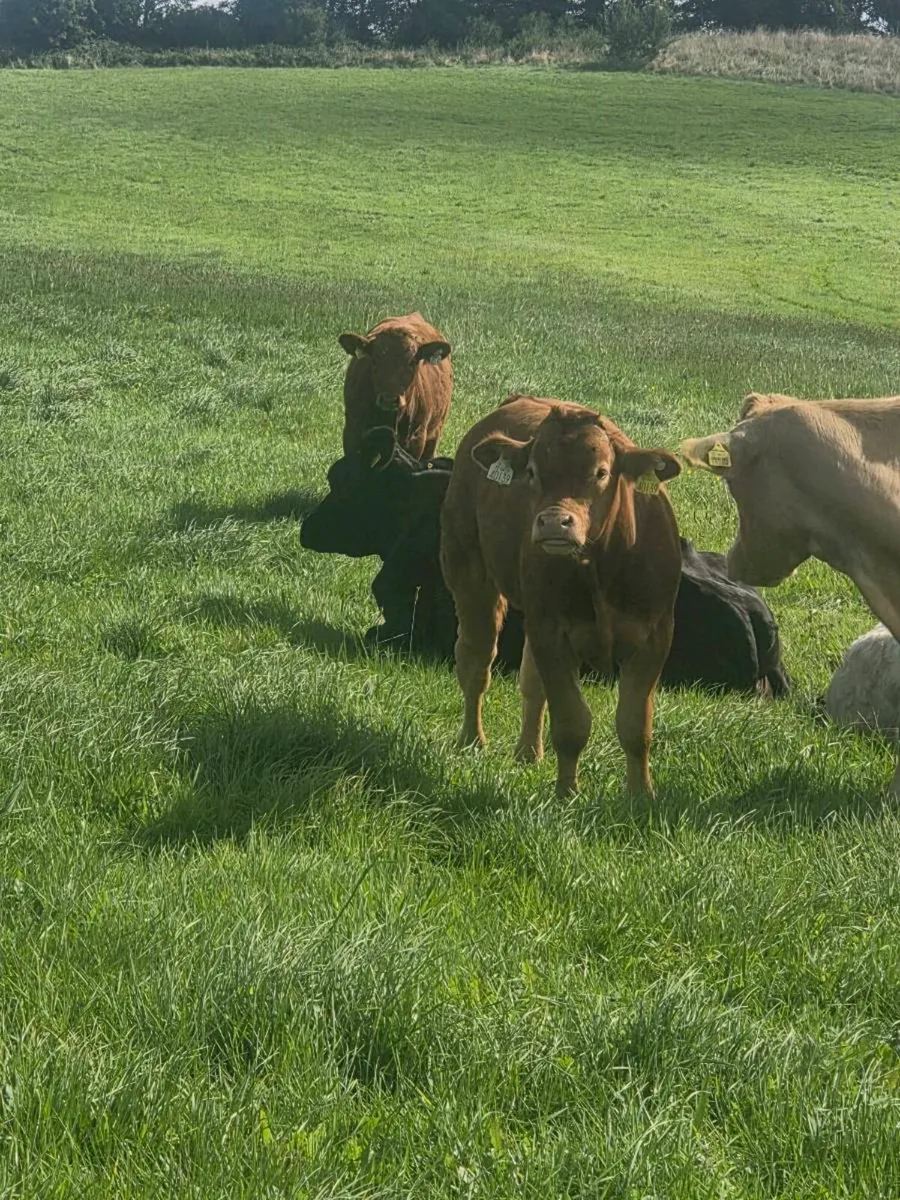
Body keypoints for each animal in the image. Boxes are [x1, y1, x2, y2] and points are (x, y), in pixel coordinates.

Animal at [440, 394, 683, 797]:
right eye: (532, 471)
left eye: (601, 472)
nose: (554, 521)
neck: (601, 568)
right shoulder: (552, 633)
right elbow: (571, 722)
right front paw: (567, 793)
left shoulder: (655, 638)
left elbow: (635, 726)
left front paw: (641, 795)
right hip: (470, 574)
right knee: (476, 663)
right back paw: (473, 740)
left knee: (530, 682)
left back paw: (527, 751)